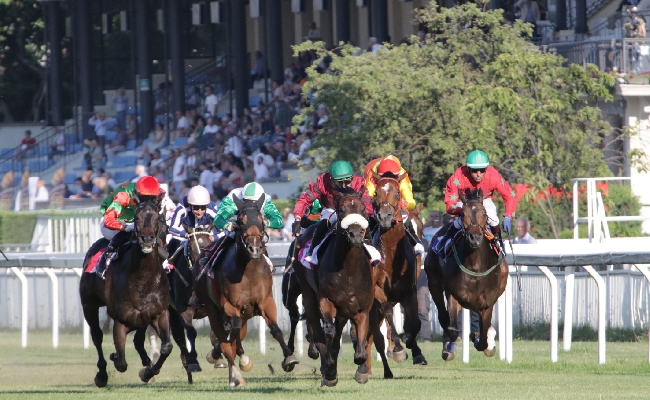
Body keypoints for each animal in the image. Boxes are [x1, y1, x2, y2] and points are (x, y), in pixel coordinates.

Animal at [190, 195, 296, 386]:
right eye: (240, 220)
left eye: (261, 219)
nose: (254, 248)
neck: (249, 273)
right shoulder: (231, 306)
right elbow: (232, 334)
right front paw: (240, 362)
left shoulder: (266, 302)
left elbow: (275, 329)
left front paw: (289, 358)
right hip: (212, 309)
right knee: (227, 339)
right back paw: (235, 375)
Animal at [422, 189, 508, 360]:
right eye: (462, 214)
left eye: (484, 213)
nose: (474, 237)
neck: (475, 267)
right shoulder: (454, 295)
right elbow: (453, 330)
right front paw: (449, 347)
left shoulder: (487, 303)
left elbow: (483, 338)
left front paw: (485, 341)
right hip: (433, 282)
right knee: (443, 316)